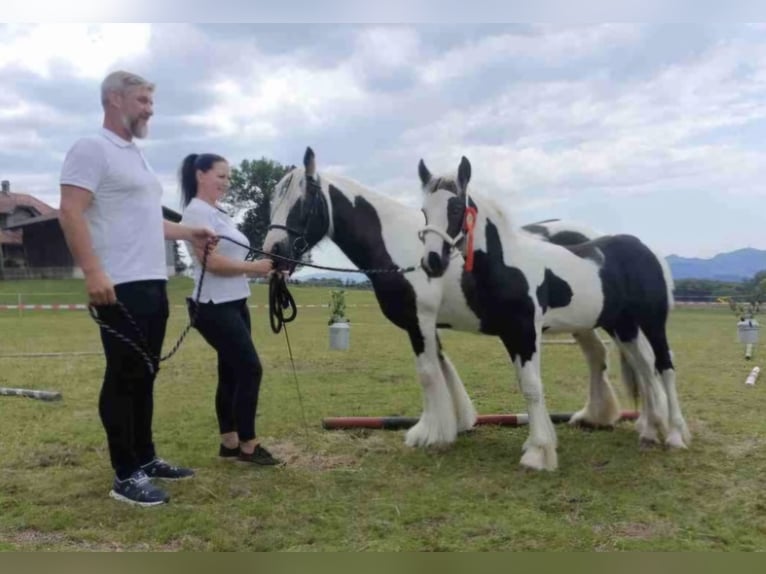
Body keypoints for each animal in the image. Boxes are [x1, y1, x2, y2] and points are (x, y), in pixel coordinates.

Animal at [264, 148, 648, 468]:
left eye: (303, 203)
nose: (273, 251)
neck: (397, 245)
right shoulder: (427, 324)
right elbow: (444, 368)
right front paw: (458, 422)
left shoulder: (420, 321)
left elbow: (428, 373)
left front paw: (430, 433)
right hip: (581, 322)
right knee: (598, 355)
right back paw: (596, 416)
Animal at [416, 155, 692, 470]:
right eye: (424, 211)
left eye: (455, 207)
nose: (432, 262)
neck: (511, 264)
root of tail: (648, 251)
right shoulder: (510, 334)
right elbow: (525, 385)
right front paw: (538, 445)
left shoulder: (526, 331)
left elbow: (532, 387)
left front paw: (537, 453)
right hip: (623, 326)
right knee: (645, 367)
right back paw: (649, 433)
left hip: (652, 321)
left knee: (665, 365)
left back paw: (675, 435)